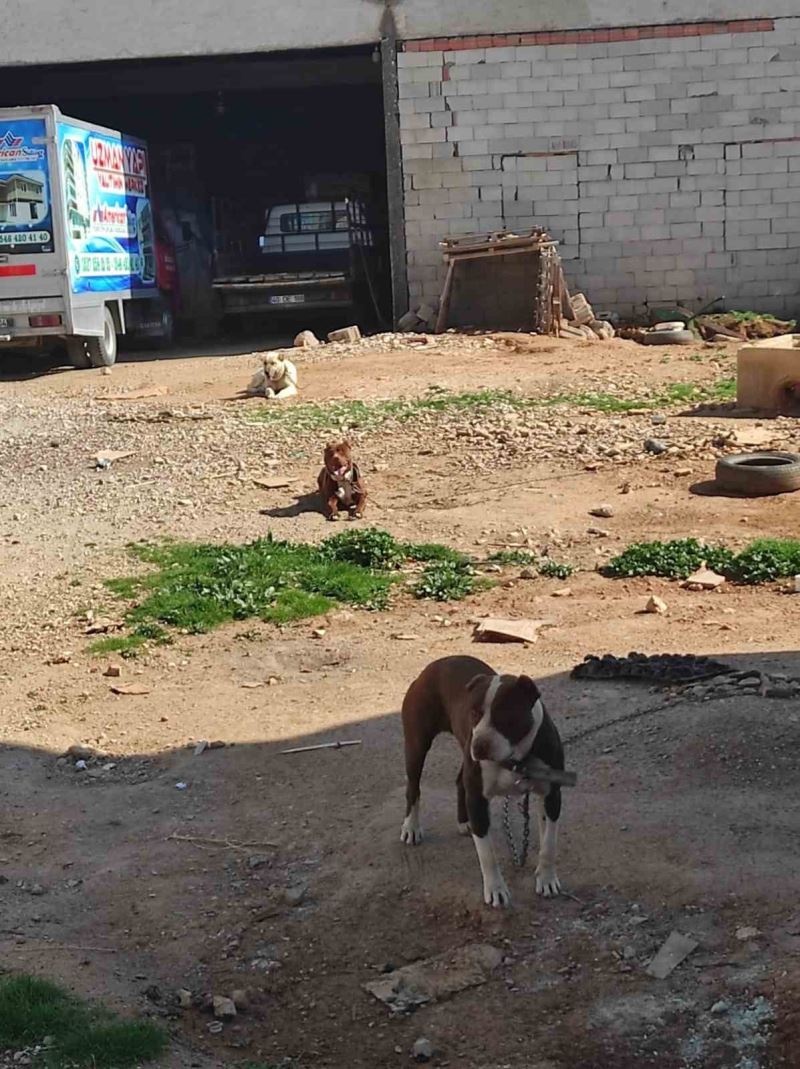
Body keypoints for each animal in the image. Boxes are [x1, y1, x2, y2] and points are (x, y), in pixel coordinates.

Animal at [400, 654, 560, 906]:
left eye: (505, 715)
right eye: (473, 713)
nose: (480, 744)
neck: (515, 758)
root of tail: (433, 665)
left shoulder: (552, 796)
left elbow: (549, 843)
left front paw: (546, 879)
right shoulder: (477, 798)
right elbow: (487, 854)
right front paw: (496, 890)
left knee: (459, 781)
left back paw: (464, 822)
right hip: (417, 745)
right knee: (413, 787)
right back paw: (411, 827)